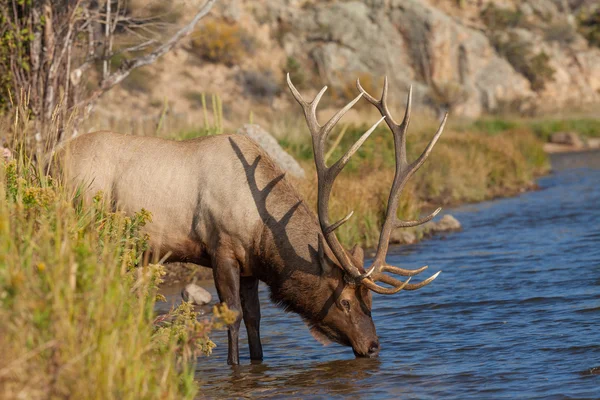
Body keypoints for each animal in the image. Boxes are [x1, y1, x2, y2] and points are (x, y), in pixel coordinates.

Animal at [57, 73, 446, 364]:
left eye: (371, 301)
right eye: (345, 301)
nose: (373, 346)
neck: (263, 231)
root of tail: (48, 160)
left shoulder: (250, 266)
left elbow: (256, 319)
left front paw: (258, 362)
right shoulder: (222, 249)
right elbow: (232, 315)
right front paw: (234, 365)